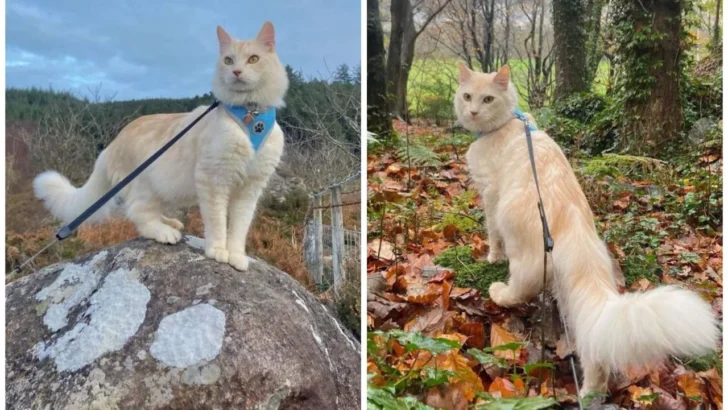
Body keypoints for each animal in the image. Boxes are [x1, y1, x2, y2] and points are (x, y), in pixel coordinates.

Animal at [33, 22, 288, 272]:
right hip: (145, 187)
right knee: (139, 215)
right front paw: (217, 251)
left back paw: (170, 222)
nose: (236, 72)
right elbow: (217, 222)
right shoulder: (214, 180)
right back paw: (165, 232)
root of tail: (111, 145)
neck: (250, 115)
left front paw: (236, 256)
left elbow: (239, 228)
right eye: (228, 60)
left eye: (253, 59)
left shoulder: (250, 189)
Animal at [456, 63, 716, 394]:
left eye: (487, 99)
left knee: (521, 288)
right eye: (467, 96)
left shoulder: (489, 194)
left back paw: (500, 292)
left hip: (520, 244)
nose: (473, 111)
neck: (508, 123)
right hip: (573, 302)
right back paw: (590, 393)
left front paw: (491, 257)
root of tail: (576, 230)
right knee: (594, 354)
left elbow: (492, 236)